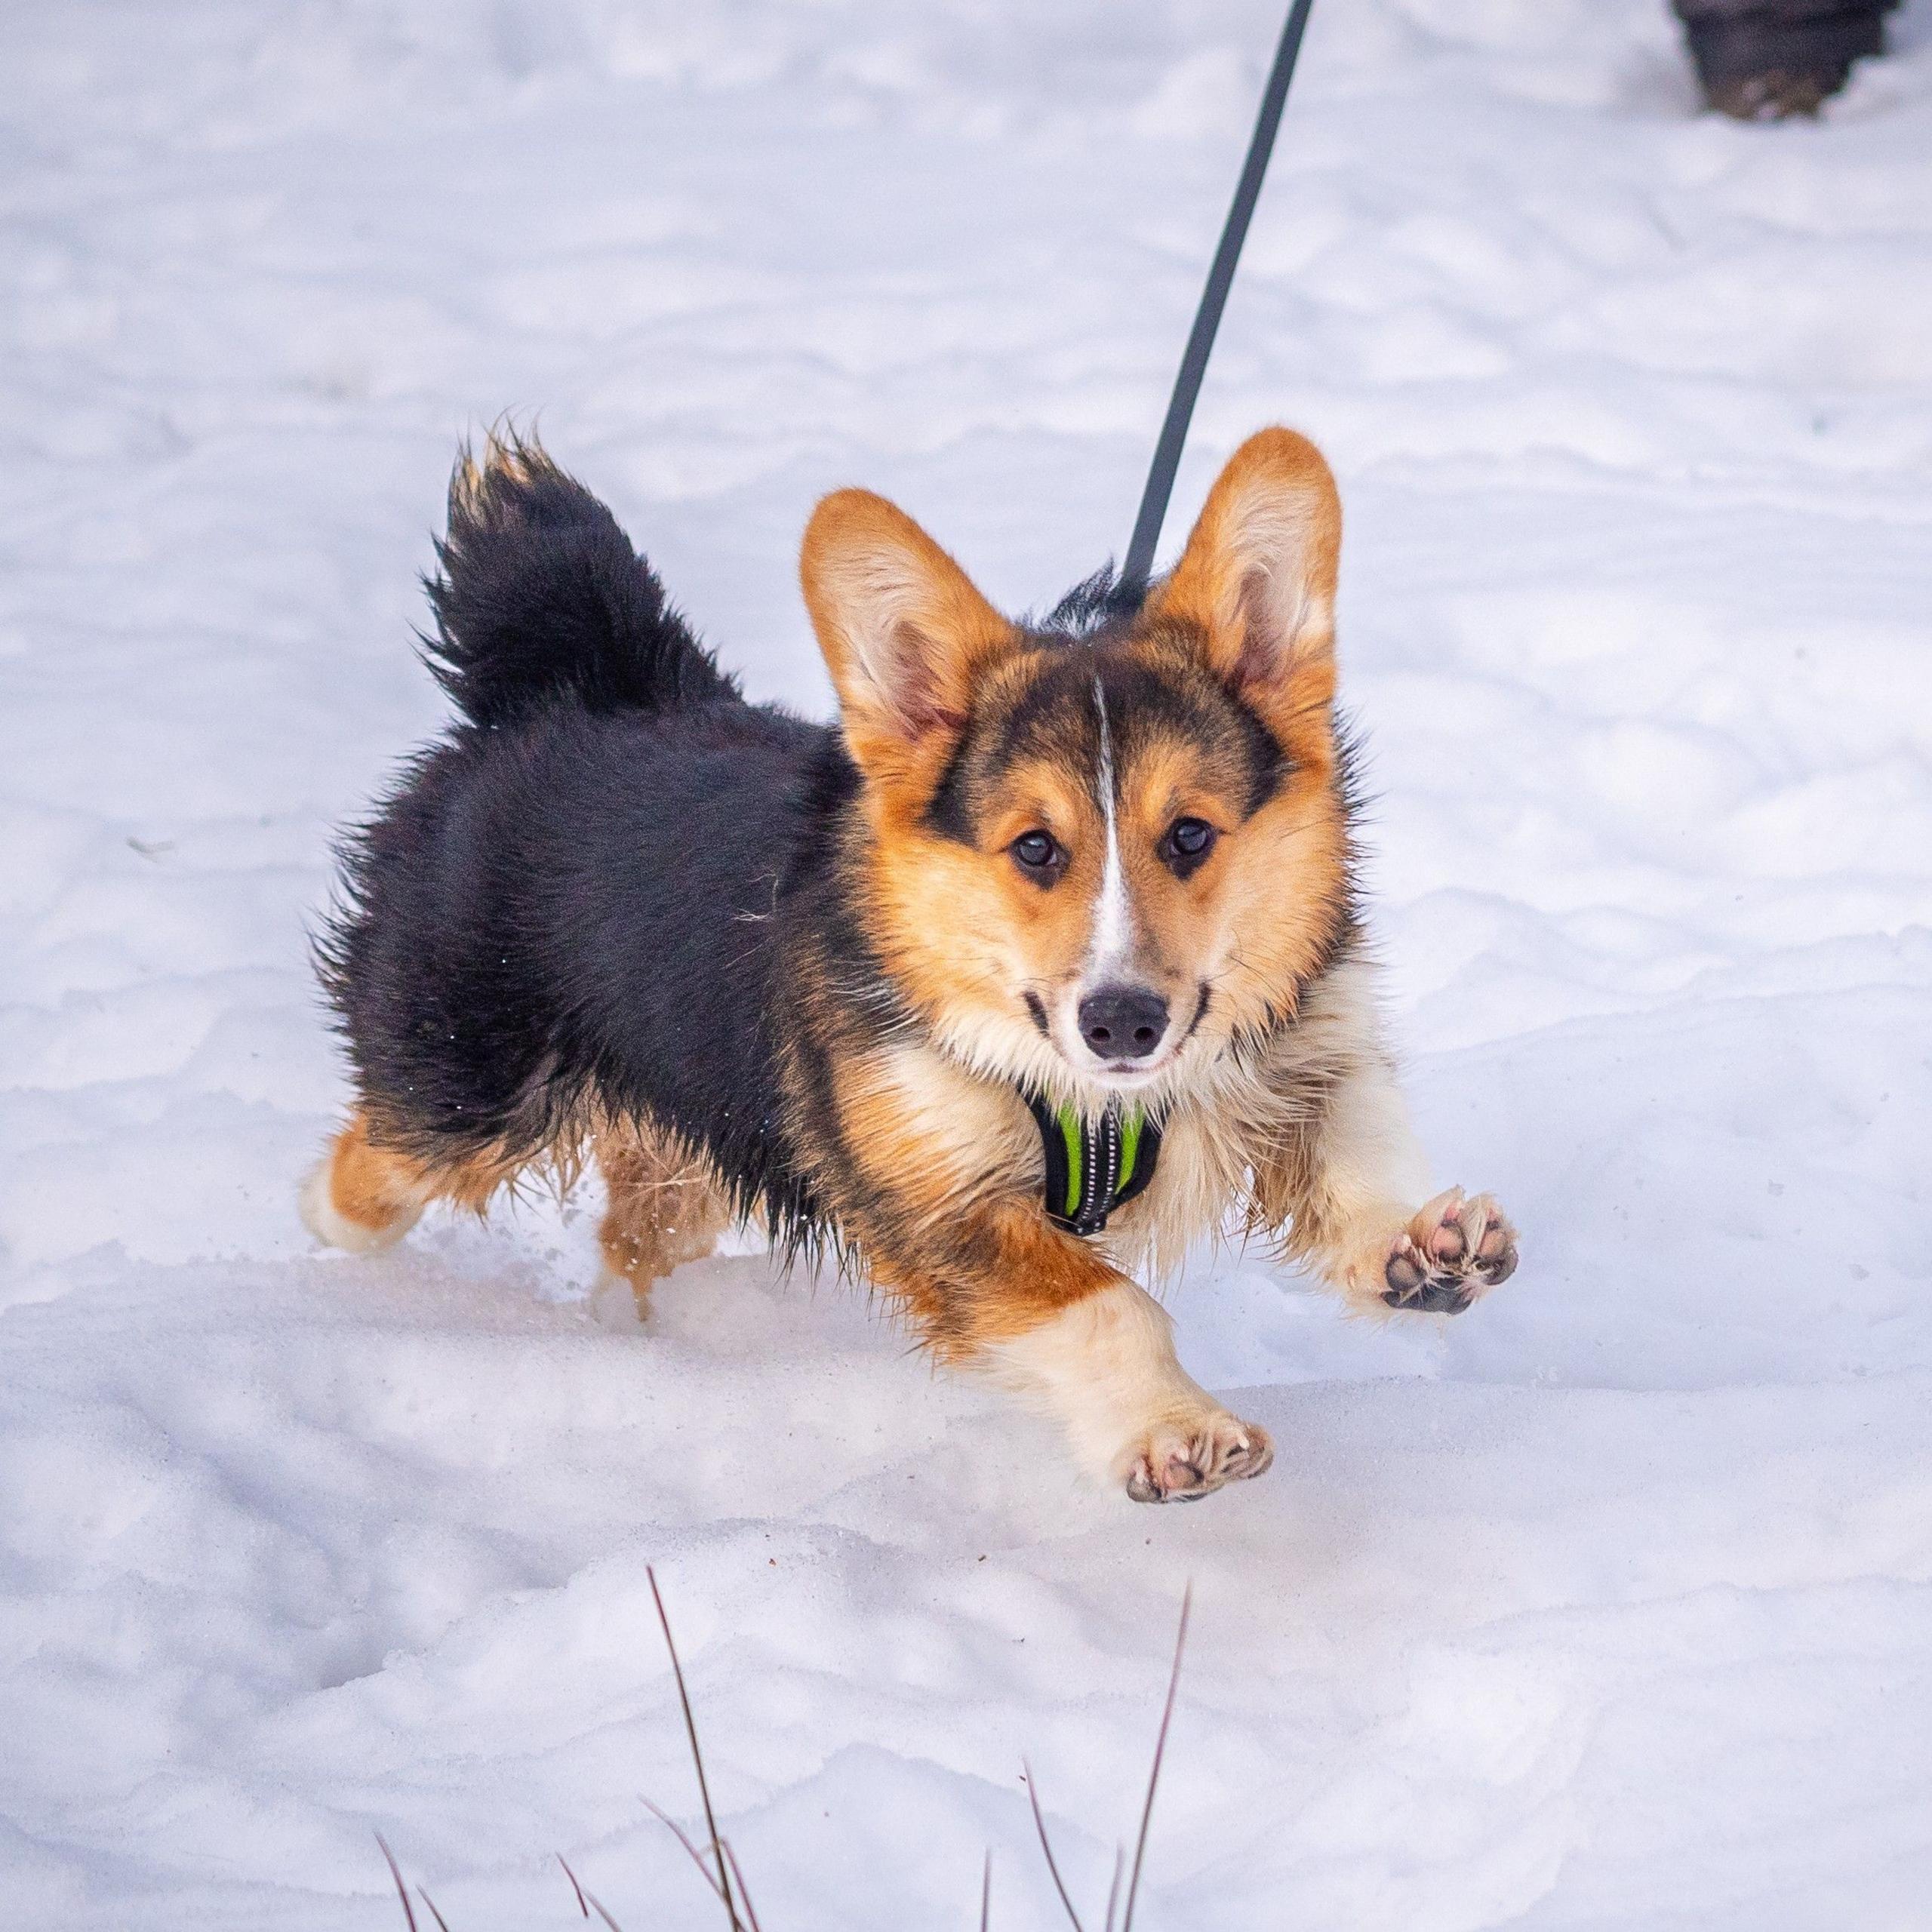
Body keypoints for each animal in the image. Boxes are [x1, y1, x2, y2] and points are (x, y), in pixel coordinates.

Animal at [301, 430, 1515, 1499]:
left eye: (1189, 836)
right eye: (1036, 849)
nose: (1122, 1023)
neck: (1104, 1102)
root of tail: (567, 693)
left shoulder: (1301, 1062)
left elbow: (1355, 1158)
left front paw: (1423, 1247)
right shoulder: (935, 1195)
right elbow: (1104, 1304)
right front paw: (1176, 1433)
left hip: (696, 1138)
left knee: (636, 1236)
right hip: (463, 1094)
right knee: (368, 1170)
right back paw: (323, 1255)